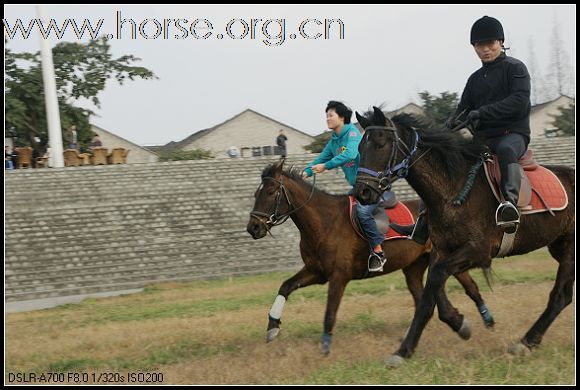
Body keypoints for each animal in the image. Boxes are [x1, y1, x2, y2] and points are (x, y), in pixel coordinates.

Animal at [245, 160, 494, 354]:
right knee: (424, 296)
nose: (253, 228)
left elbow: (330, 313)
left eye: (270, 192)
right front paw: (273, 326)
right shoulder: (316, 272)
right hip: (414, 267)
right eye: (256, 193)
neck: (324, 222)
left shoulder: (339, 276)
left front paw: (324, 348)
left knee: (469, 287)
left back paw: (485, 319)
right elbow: (286, 286)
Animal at [354, 107, 576, 366]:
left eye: (380, 144)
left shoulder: (478, 251)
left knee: (560, 296)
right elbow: (429, 295)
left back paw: (526, 341)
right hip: (559, 246)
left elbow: (435, 281)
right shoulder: (442, 249)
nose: (362, 192)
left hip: (570, 250)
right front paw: (449, 328)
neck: (452, 188)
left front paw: (406, 348)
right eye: (360, 148)